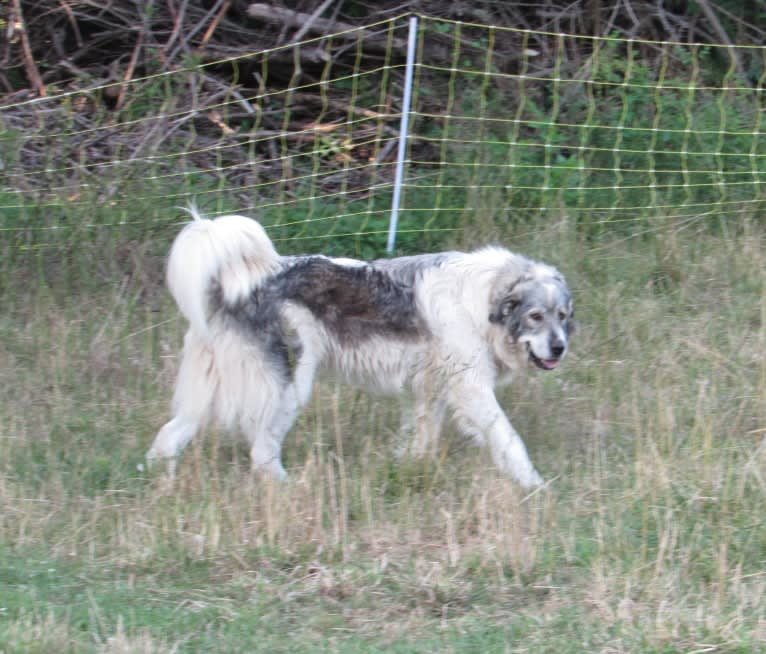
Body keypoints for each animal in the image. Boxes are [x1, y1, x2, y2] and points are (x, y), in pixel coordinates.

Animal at [147, 209, 572, 486]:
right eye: (536, 316)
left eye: (563, 316)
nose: (559, 349)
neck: (482, 303)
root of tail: (238, 283)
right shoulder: (472, 389)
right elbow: (509, 440)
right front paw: (535, 486)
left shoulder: (428, 392)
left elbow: (420, 438)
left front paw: (408, 468)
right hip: (290, 387)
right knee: (261, 452)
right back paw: (286, 487)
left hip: (215, 388)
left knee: (170, 433)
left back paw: (158, 479)